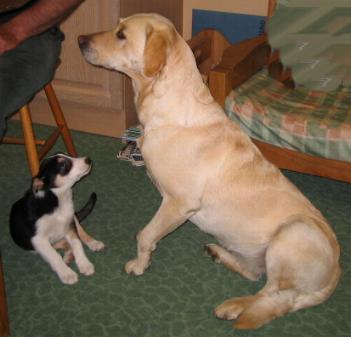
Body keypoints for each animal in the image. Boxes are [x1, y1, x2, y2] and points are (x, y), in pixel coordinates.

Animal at [8, 153, 104, 284]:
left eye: (68, 155)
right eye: (63, 165)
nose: (88, 160)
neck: (57, 200)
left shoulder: (69, 225)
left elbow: (77, 243)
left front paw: (85, 264)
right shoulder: (38, 239)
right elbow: (55, 256)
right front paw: (67, 274)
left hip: (72, 218)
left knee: (80, 231)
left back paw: (93, 243)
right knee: (63, 245)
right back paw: (68, 258)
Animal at [79, 13, 340, 328]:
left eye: (121, 35)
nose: (79, 40)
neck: (166, 104)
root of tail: (335, 275)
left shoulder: (179, 203)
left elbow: (145, 235)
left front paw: (139, 265)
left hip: (292, 232)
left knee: (274, 297)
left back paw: (233, 306)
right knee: (256, 276)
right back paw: (220, 255)